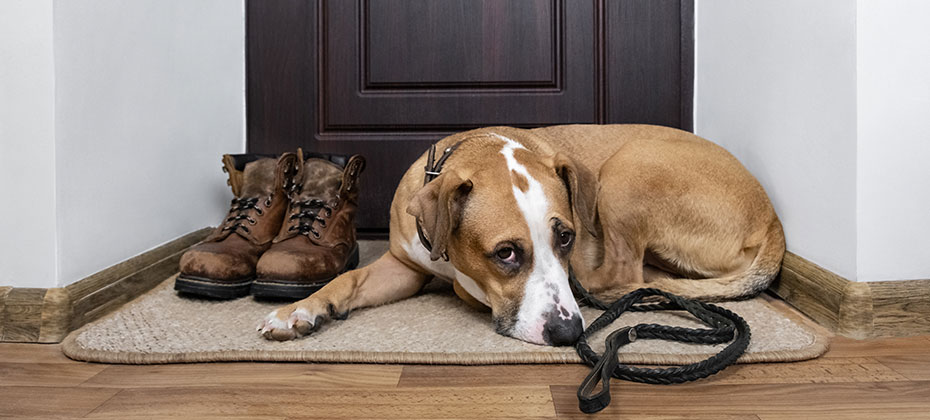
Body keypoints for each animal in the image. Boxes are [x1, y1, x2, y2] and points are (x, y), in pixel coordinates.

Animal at [256, 125, 784, 348]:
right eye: (506, 253)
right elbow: (346, 281)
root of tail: (772, 220)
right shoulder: (403, 267)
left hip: (629, 168)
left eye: (567, 238)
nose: (569, 334)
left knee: (622, 274)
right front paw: (300, 310)